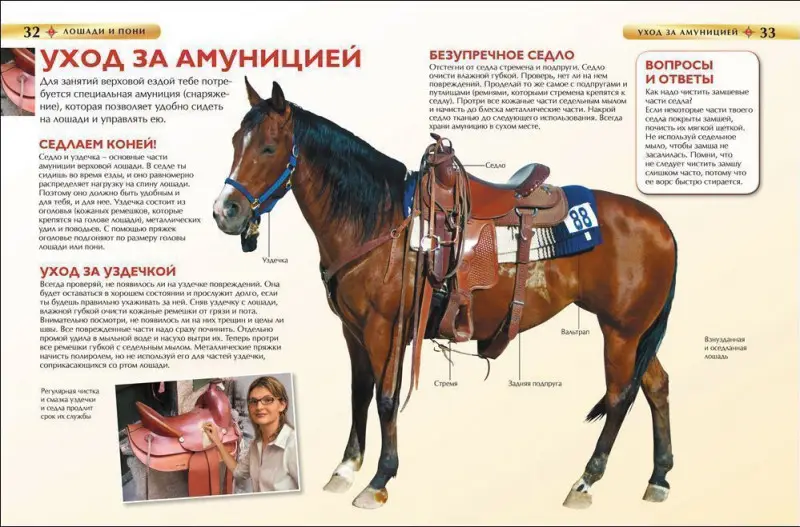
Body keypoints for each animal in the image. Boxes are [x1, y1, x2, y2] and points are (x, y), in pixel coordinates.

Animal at [211, 79, 678, 510]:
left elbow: (385, 399)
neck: (379, 220)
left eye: (269, 148)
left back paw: (586, 481)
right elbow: (359, 393)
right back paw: (658, 477)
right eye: (235, 142)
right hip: (635, 332)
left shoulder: (384, 329)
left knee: (619, 396)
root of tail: (660, 224)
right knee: (655, 385)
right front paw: (345, 468)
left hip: (620, 332)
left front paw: (379, 479)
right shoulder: (353, 331)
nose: (225, 211)